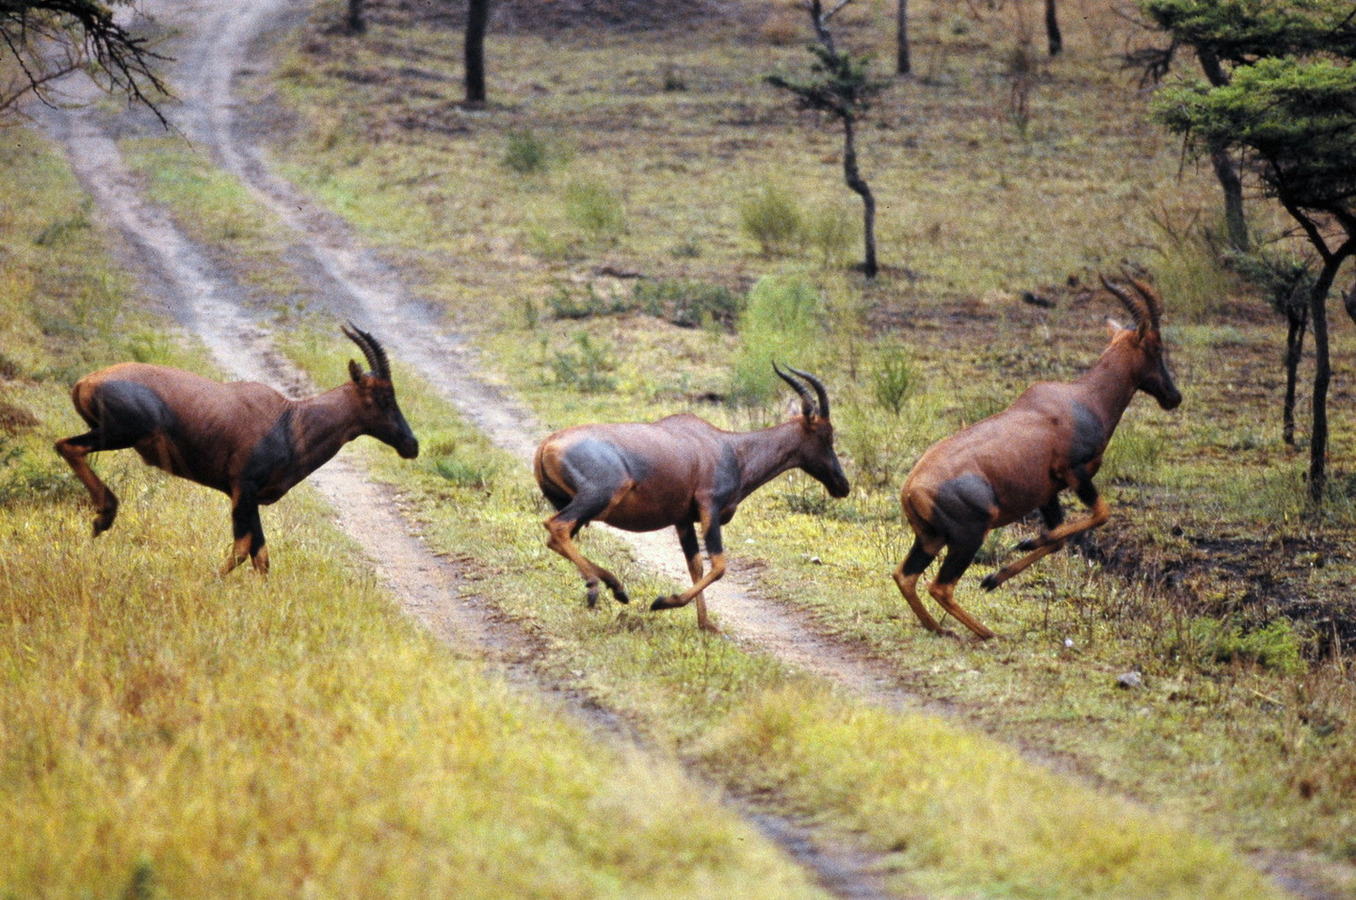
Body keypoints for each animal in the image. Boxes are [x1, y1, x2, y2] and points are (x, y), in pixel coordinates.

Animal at [55, 326, 417, 571]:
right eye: (384, 396)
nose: (411, 445)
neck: (290, 418)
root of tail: (85, 382)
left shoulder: (248, 497)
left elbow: (261, 555)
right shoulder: (243, 489)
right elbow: (243, 548)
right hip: (118, 434)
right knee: (67, 445)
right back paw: (104, 517)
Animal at [531, 365, 840, 631]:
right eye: (827, 434)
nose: (842, 486)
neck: (729, 448)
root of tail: (547, 444)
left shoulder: (683, 520)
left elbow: (696, 566)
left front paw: (706, 625)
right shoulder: (708, 507)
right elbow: (719, 566)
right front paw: (662, 602)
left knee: (555, 537)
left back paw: (616, 587)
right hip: (599, 498)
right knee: (557, 526)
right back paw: (596, 586)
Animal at [889, 273, 1177, 639]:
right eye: (1156, 346)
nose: (1174, 397)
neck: (1079, 399)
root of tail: (910, 490)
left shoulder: (1047, 491)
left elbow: (1058, 538)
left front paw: (994, 578)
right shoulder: (1075, 472)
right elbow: (1100, 514)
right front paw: (1024, 543)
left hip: (930, 538)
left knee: (905, 575)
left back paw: (941, 629)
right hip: (967, 536)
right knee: (940, 586)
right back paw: (987, 633)